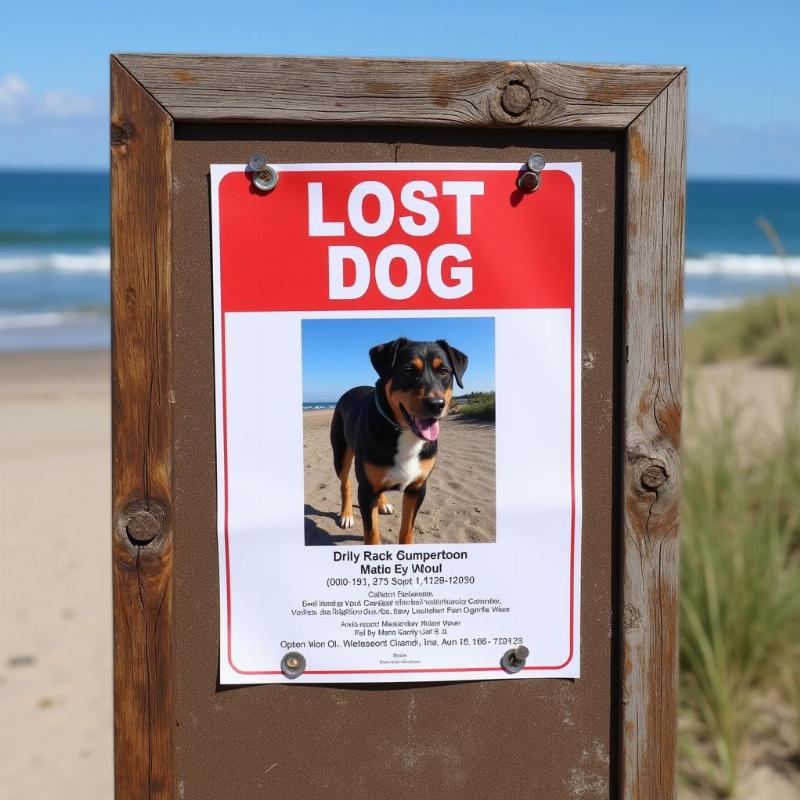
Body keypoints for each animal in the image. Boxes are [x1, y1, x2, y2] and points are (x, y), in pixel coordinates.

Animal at [332, 334, 468, 548]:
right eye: (409, 371)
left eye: (444, 371)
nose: (436, 404)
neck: (405, 434)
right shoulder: (366, 490)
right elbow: (372, 535)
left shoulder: (417, 489)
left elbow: (407, 530)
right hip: (340, 454)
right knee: (345, 483)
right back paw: (346, 514)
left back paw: (383, 503)